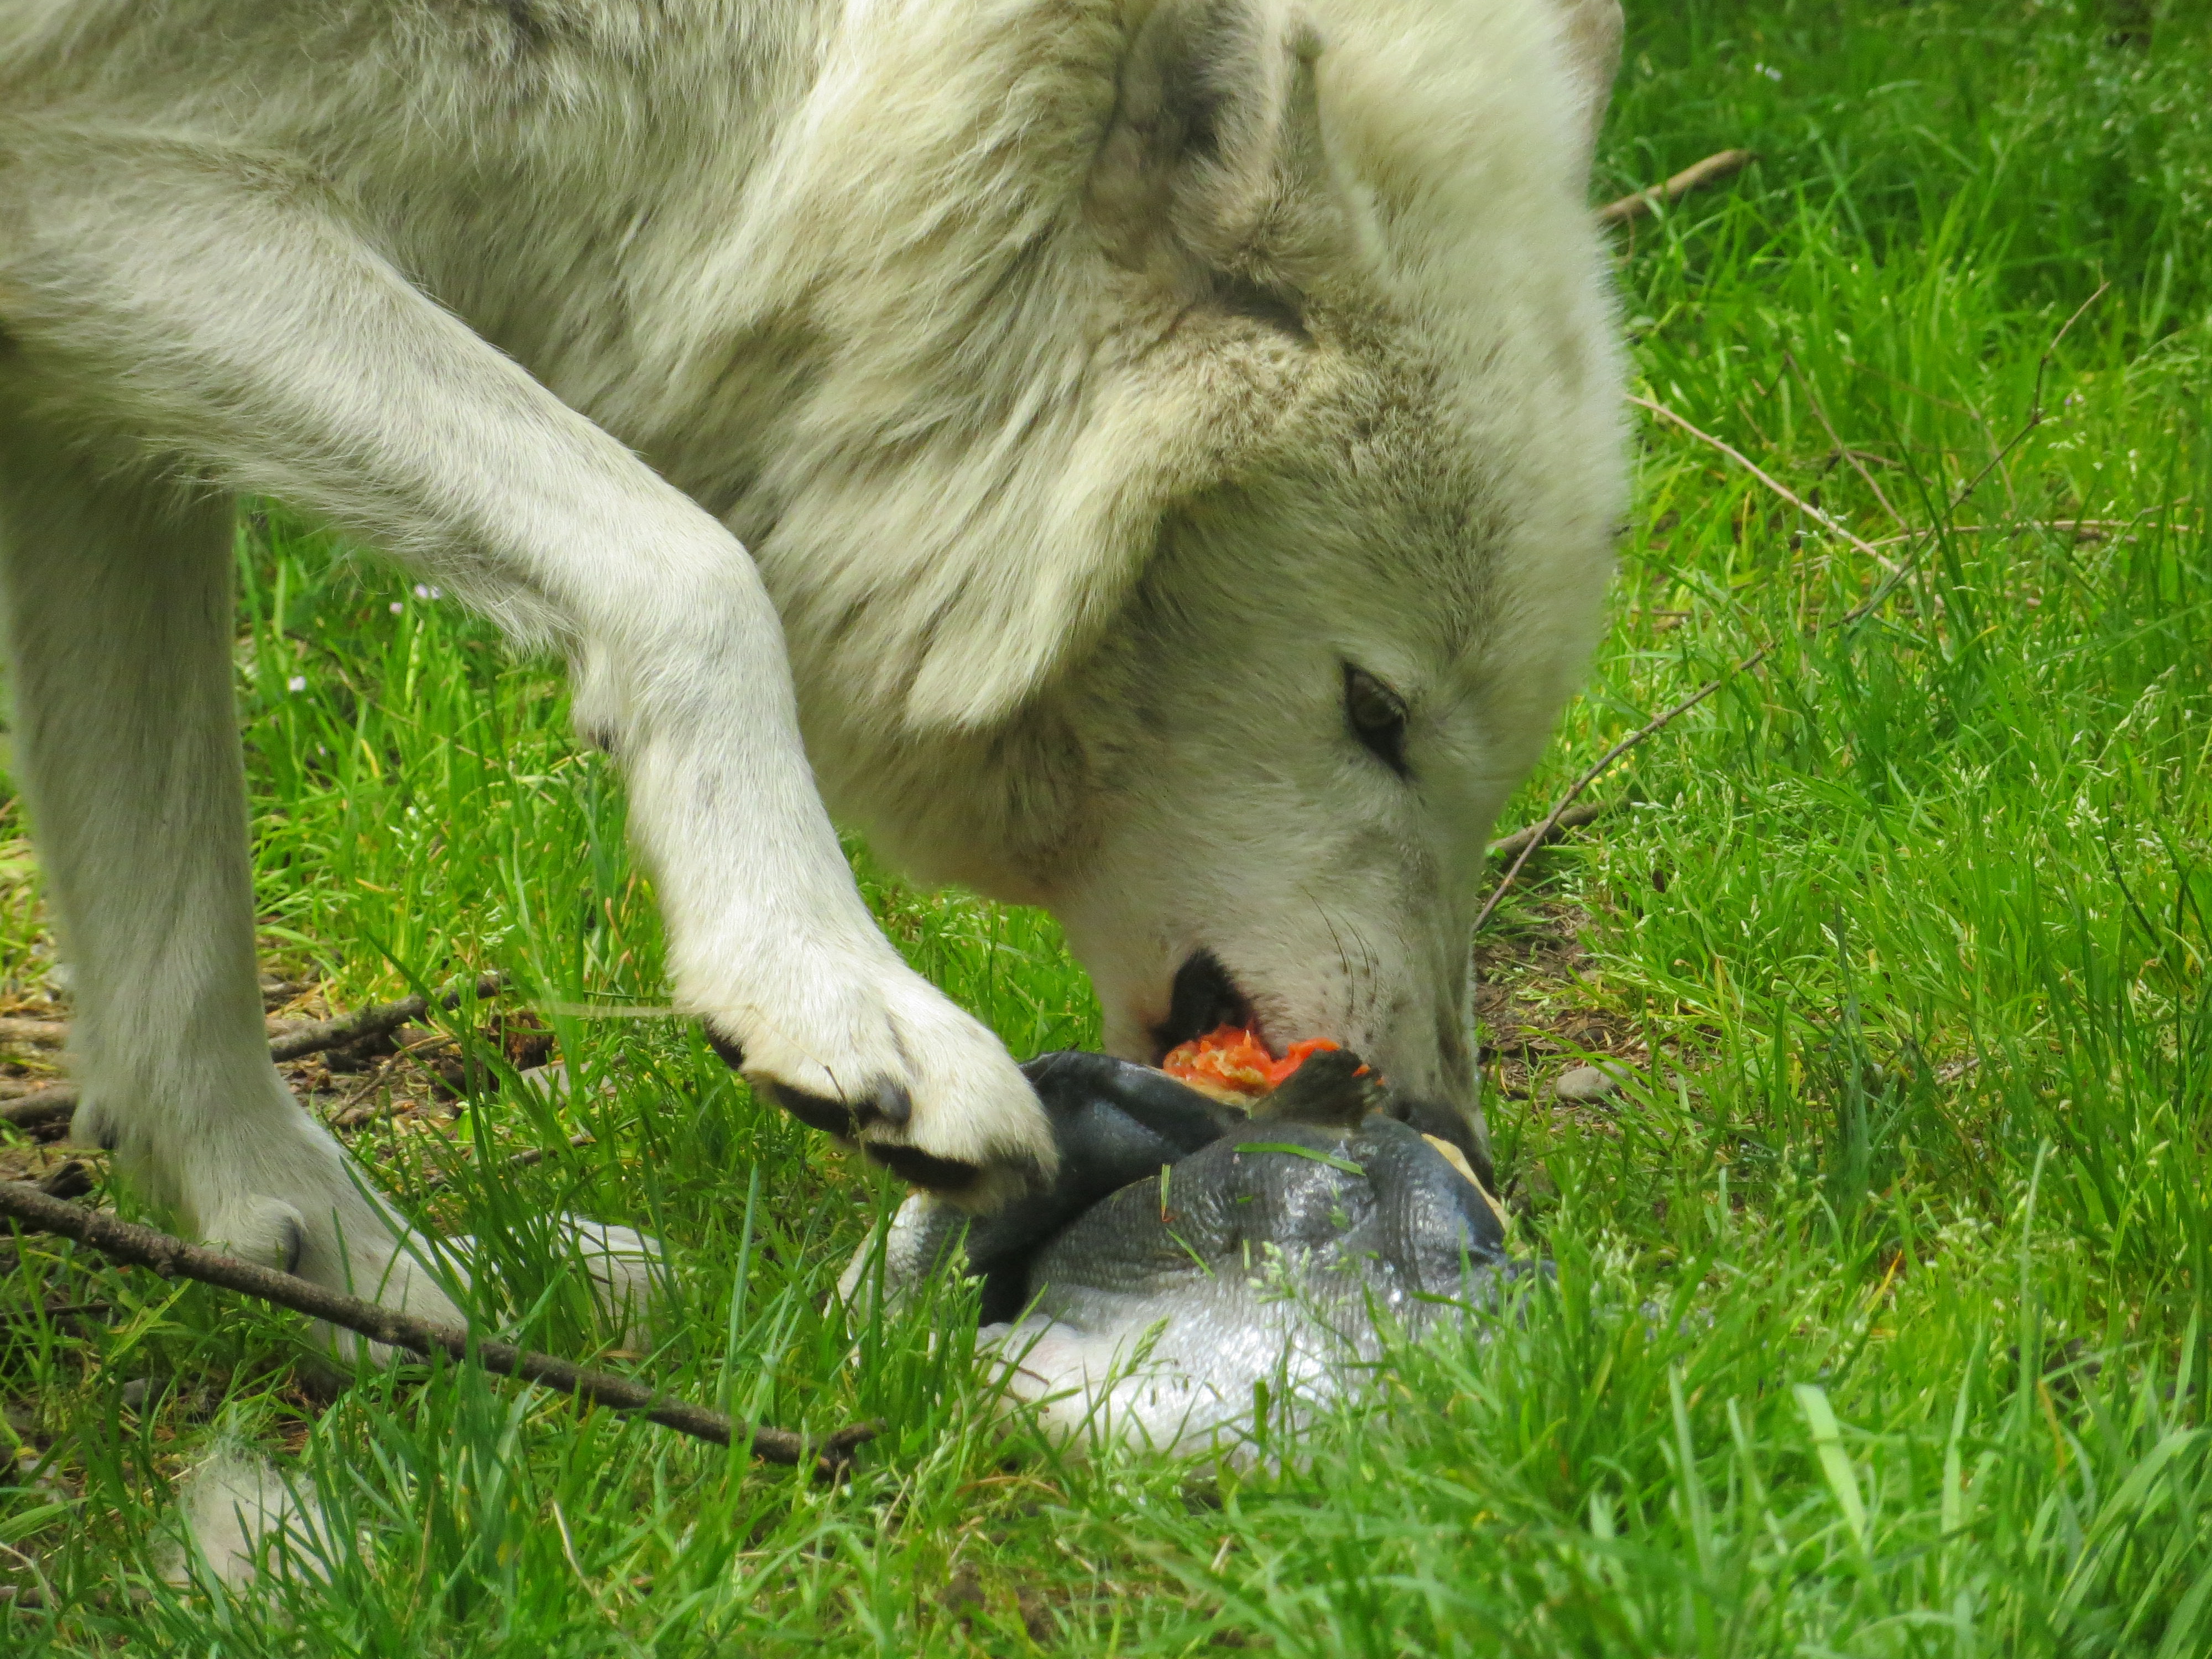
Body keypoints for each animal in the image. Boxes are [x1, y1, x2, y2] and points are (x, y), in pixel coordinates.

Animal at [0, 0, 1628, 1327]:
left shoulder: (93, 377)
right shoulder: (99, 179)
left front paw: (346, 1266)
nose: (1447, 1134)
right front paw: (833, 998)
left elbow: (179, 952)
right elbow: (695, 569)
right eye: (1373, 710)